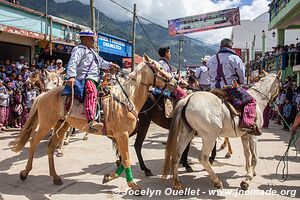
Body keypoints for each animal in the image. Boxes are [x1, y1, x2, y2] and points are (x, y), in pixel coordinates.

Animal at [12, 54, 178, 191]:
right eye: (160, 67)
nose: (175, 82)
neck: (126, 98)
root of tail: (43, 95)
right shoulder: (122, 135)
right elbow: (126, 159)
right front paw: (133, 185)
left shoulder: (120, 136)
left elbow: (122, 160)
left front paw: (109, 177)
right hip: (46, 124)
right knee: (33, 142)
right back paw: (25, 173)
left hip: (61, 125)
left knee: (50, 147)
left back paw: (55, 176)